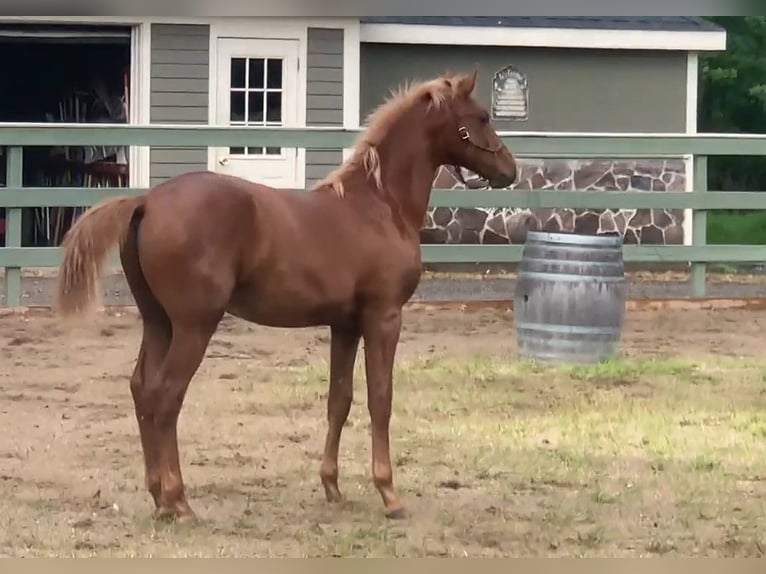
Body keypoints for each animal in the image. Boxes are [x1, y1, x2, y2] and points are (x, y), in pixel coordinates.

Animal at [57, 70, 520, 524]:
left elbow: (339, 400)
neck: (379, 206)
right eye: (481, 117)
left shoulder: (345, 325)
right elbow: (380, 399)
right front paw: (389, 494)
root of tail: (145, 201)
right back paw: (179, 502)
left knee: (142, 388)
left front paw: (333, 488)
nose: (510, 170)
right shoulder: (384, 317)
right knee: (166, 395)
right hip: (194, 325)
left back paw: (158, 498)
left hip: (159, 322)